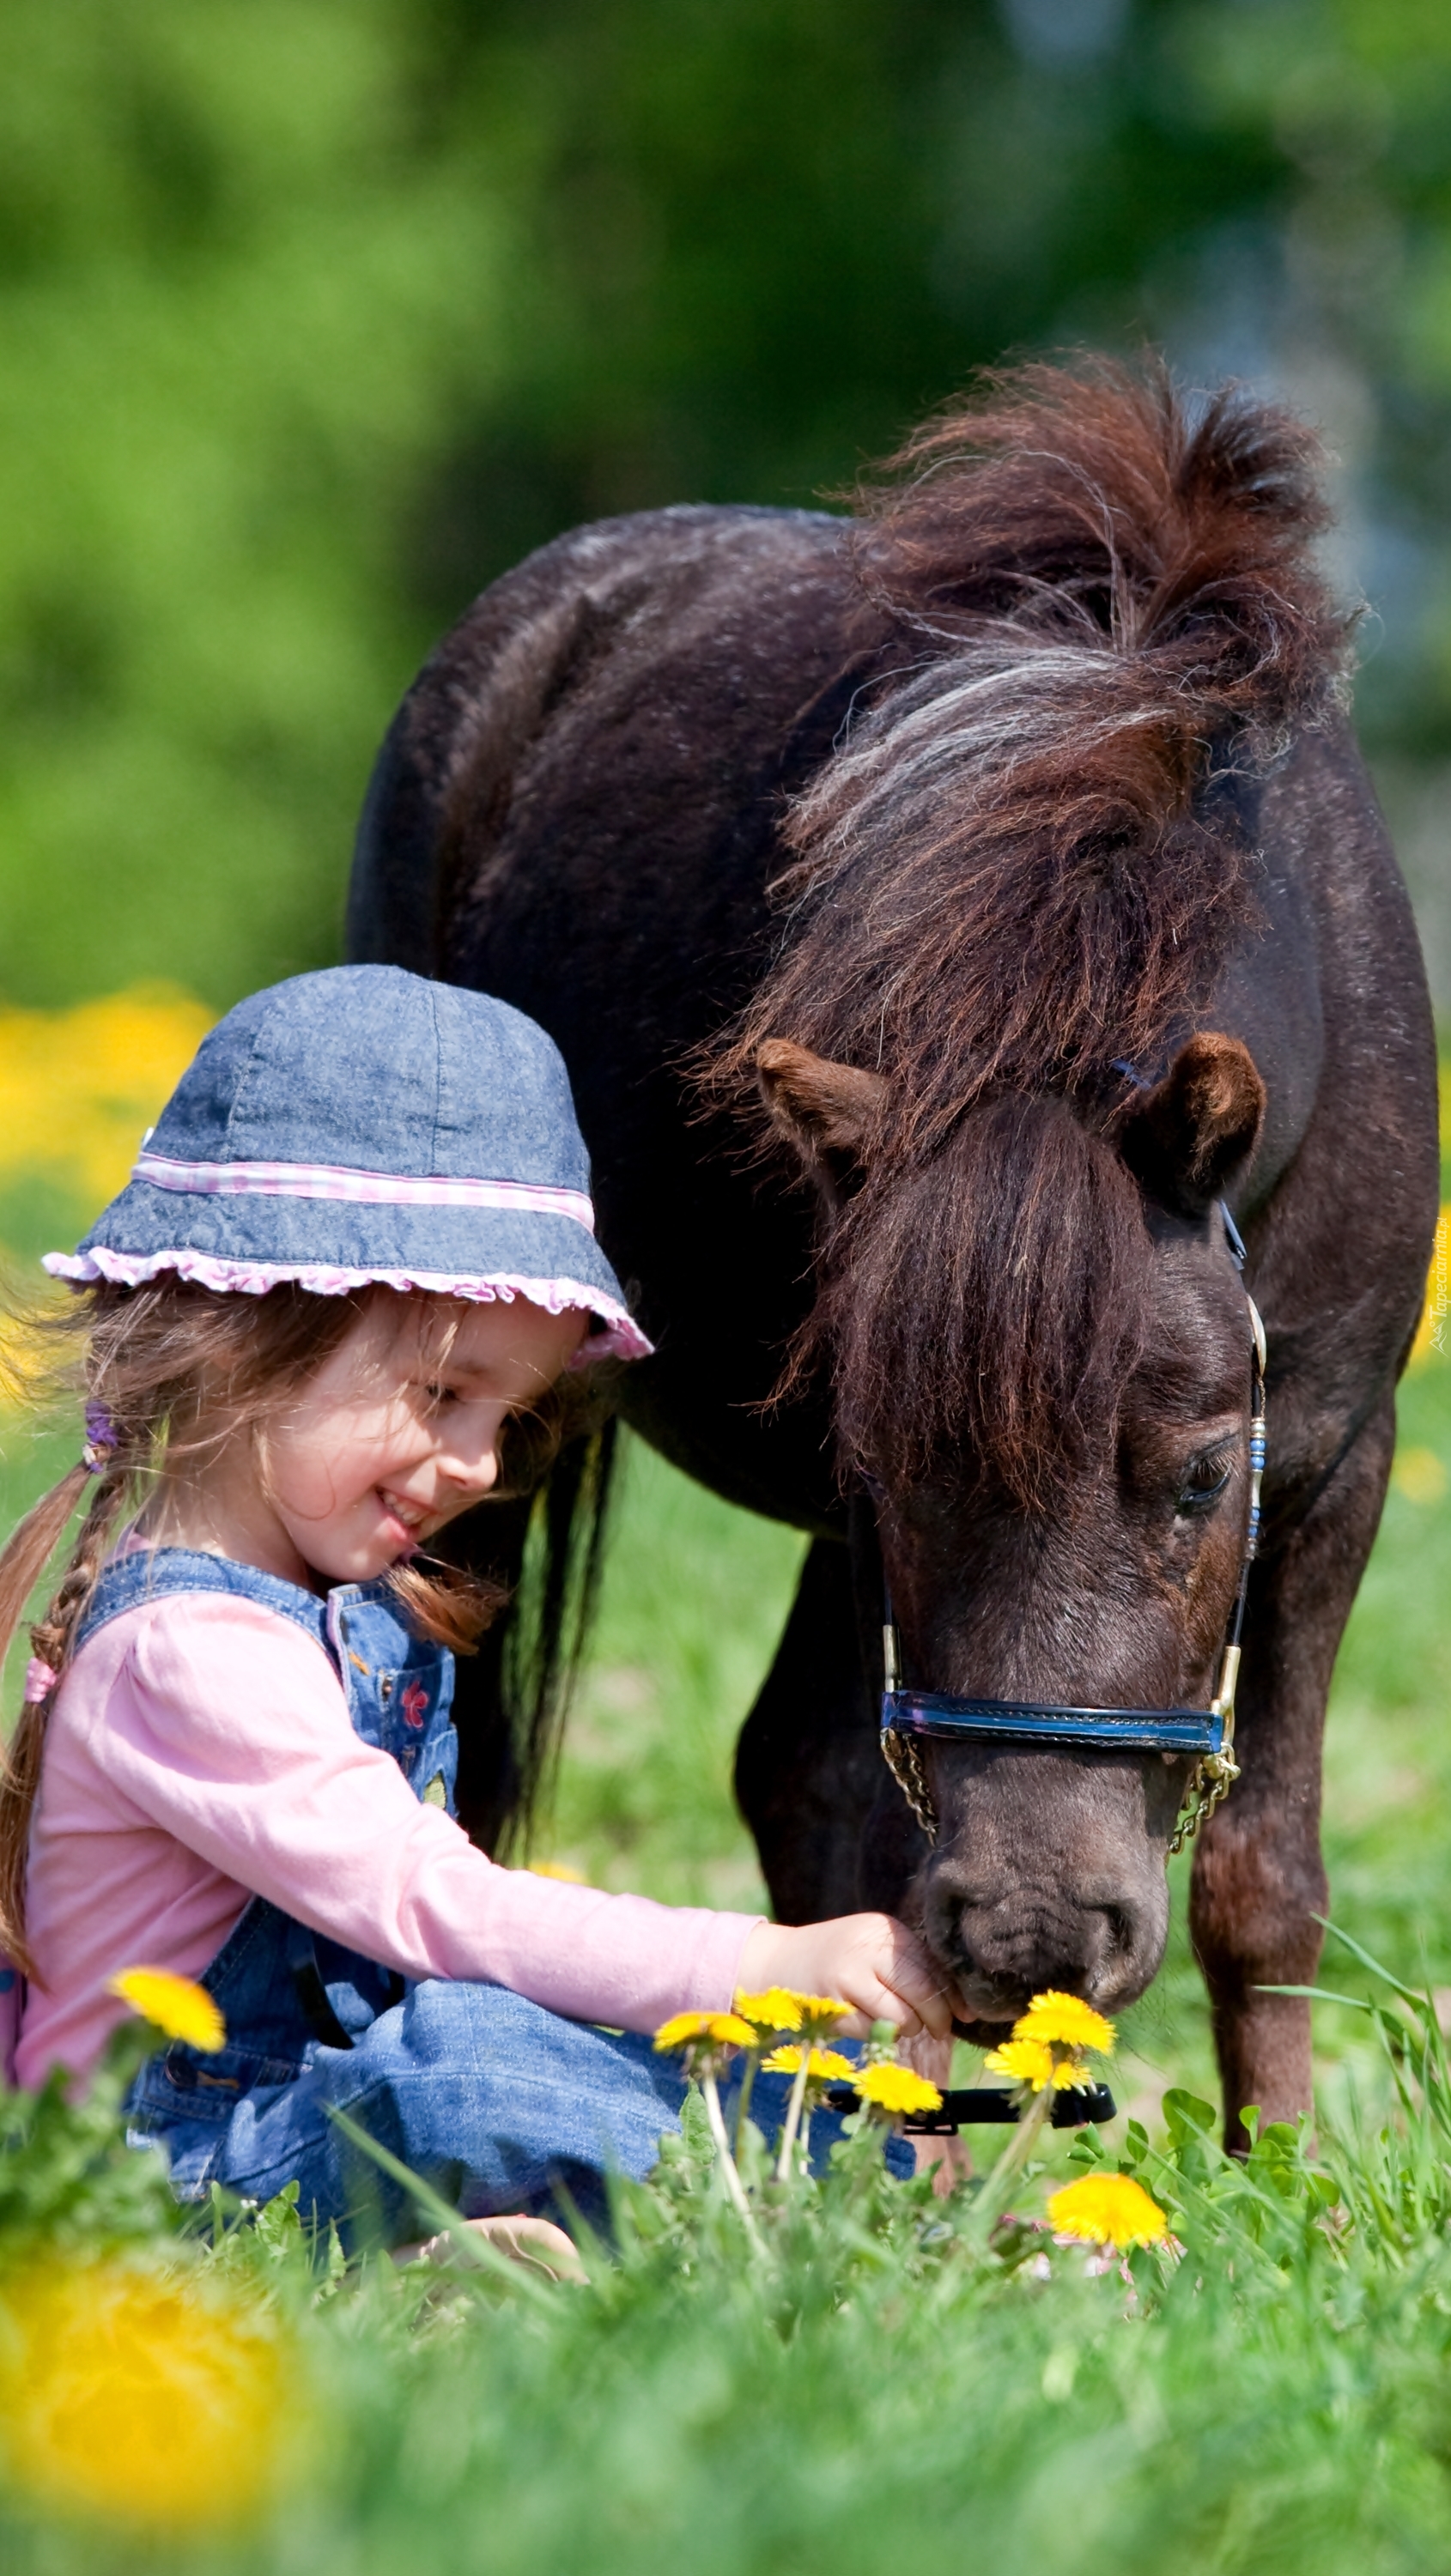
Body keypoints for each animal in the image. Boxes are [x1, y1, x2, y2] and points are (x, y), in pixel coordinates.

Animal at [348, 358, 1442, 2132]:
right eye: (897, 1467)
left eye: (1203, 1478)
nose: (1036, 1930)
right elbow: (872, 1834)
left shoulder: (1338, 1462)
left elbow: (1264, 1879)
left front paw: (1276, 2166)